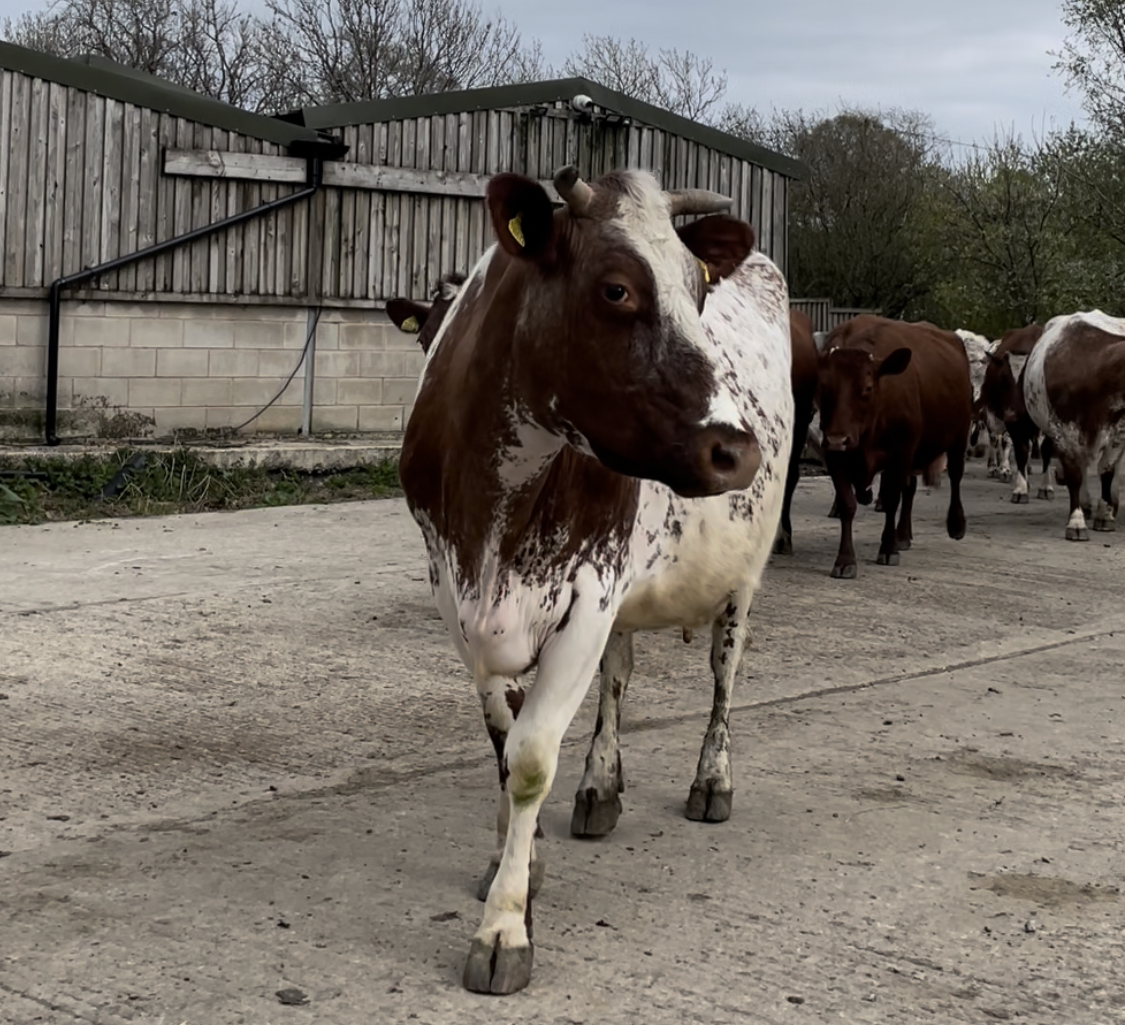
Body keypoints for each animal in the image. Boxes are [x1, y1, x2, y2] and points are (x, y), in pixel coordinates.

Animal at [397, 165, 793, 994]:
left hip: (741, 580)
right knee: (618, 676)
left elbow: (529, 759)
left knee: (724, 674)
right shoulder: (457, 599)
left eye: (698, 289)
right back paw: (600, 785)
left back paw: (712, 781)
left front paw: (505, 927)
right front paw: (513, 861)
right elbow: (503, 739)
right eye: (615, 289)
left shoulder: (587, 598)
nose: (734, 448)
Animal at [816, 316, 972, 578]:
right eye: (824, 387)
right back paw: (903, 535)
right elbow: (848, 504)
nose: (838, 439)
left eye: (867, 388)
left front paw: (888, 548)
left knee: (955, 475)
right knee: (909, 489)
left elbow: (890, 500)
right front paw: (845, 559)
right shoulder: (835, 455)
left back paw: (956, 524)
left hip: (959, 436)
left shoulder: (900, 453)